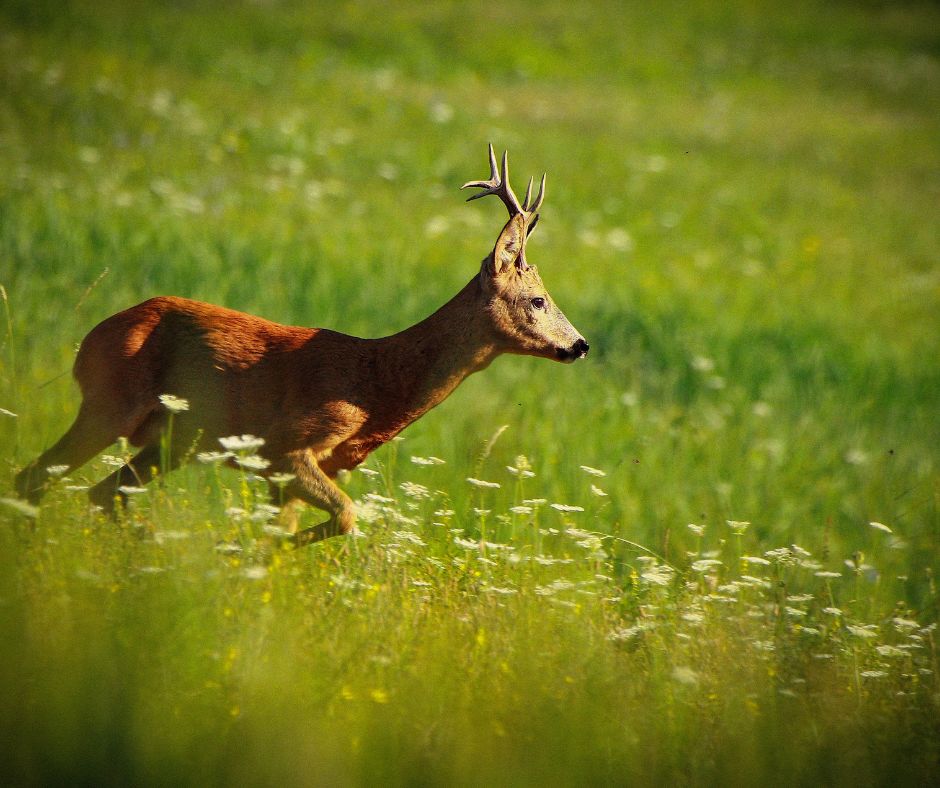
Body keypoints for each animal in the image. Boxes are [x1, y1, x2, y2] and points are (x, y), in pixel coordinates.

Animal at [14, 145, 588, 544]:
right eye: (538, 299)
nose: (580, 345)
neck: (376, 385)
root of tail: (92, 335)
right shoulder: (284, 444)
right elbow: (348, 516)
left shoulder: (298, 468)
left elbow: (284, 535)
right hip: (111, 402)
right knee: (34, 478)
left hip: (170, 440)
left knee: (101, 494)